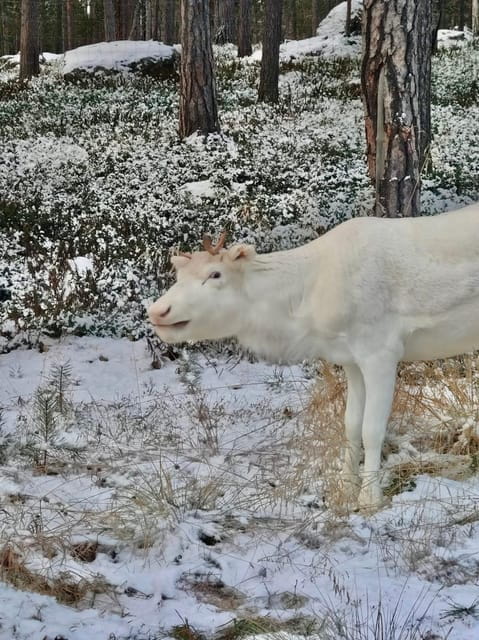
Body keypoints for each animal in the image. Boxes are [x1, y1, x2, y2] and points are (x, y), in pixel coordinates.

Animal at [148, 202, 479, 511]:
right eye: (178, 276)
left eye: (215, 274)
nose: (157, 310)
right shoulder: (351, 359)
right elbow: (351, 424)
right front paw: (345, 488)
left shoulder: (381, 351)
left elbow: (372, 429)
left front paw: (369, 499)